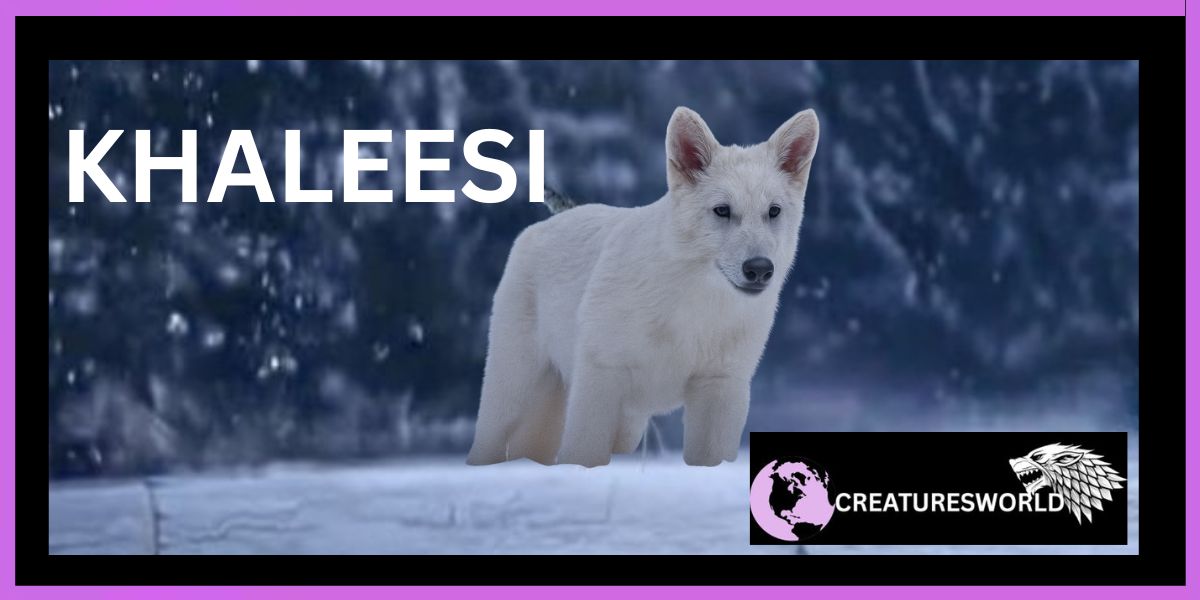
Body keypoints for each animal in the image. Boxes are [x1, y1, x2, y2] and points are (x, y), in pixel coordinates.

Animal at [466, 107, 820, 467]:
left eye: (773, 212)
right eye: (722, 210)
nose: (759, 269)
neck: (693, 309)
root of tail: (541, 226)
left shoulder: (721, 387)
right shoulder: (601, 376)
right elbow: (584, 455)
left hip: (623, 426)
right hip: (511, 396)